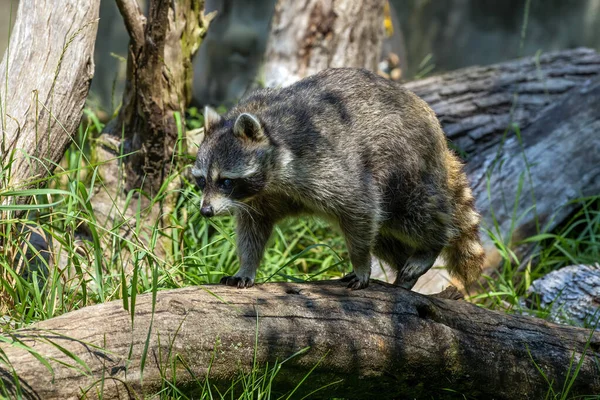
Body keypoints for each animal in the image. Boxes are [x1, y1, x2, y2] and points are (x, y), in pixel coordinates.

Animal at [192, 67, 482, 290]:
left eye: (225, 181)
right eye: (201, 181)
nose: (206, 211)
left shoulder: (322, 162)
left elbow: (359, 205)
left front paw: (361, 263)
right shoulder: (259, 198)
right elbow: (252, 229)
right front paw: (247, 266)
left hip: (406, 162)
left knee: (414, 213)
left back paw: (430, 246)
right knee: (384, 233)